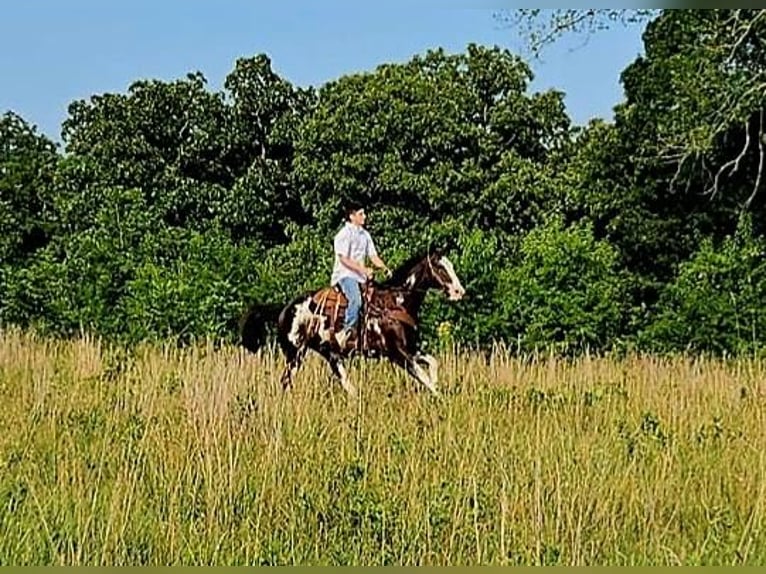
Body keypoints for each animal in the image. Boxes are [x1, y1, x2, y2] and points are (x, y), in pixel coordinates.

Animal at [240, 250, 468, 398]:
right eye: (441, 267)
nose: (460, 291)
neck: (396, 302)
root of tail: (284, 309)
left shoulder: (410, 349)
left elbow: (432, 363)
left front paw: (437, 384)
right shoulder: (397, 354)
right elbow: (423, 377)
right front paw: (439, 398)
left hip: (329, 353)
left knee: (341, 378)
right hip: (295, 353)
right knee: (286, 381)